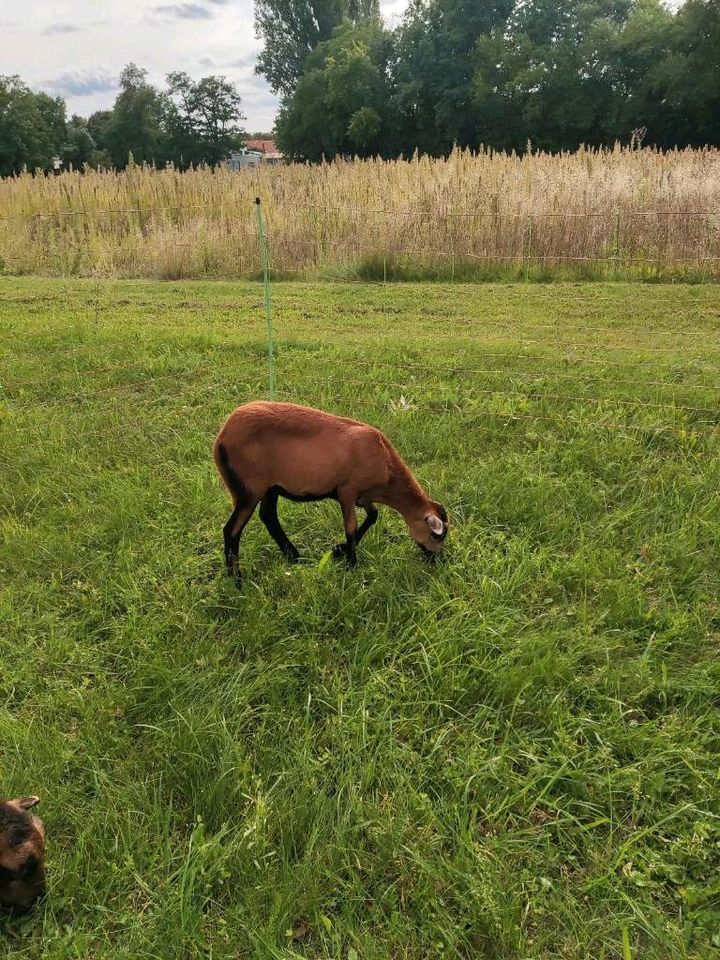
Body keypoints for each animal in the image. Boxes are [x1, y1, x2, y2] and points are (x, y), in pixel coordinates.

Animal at [215, 400, 450, 584]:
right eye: (436, 536)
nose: (438, 560)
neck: (386, 469)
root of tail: (222, 436)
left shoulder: (362, 496)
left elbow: (373, 515)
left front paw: (339, 550)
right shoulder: (347, 491)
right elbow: (351, 527)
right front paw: (351, 564)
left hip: (270, 487)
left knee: (269, 516)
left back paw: (295, 557)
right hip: (249, 488)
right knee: (232, 529)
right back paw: (236, 579)